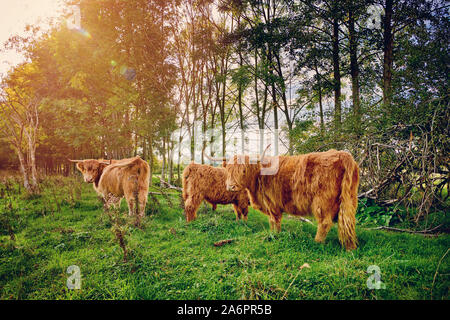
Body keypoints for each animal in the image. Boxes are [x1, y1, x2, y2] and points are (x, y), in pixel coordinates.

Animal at [209, 149, 360, 251]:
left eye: (244, 170)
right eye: (228, 170)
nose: (231, 186)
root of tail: (343, 154)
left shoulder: (272, 203)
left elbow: (275, 221)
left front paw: (275, 235)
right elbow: (271, 221)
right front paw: (272, 233)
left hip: (322, 202)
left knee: (325, 222)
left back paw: (316, 242)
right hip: (349, 199)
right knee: (348, 221)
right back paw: (350, 247)